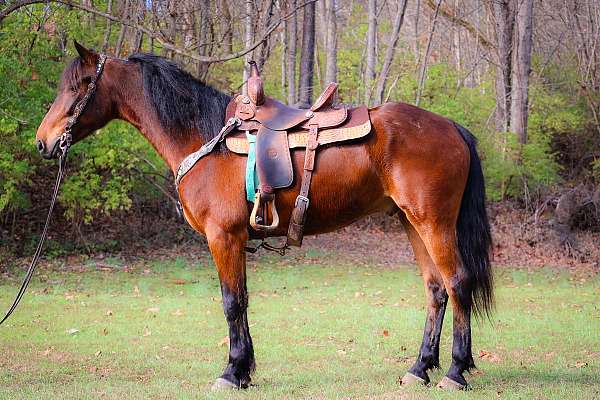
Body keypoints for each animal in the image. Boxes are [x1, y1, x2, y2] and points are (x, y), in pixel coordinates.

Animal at [35, 43, 490, 390]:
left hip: (434, 224)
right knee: (435, 290)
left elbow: (232, 302)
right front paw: (244, 371)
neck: (205, 138)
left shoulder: (224, 237)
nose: (43, 142)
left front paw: (231, 372)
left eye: (77, 86)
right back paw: (419, 368)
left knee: (458, 283)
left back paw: (454, 371)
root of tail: (451, 127)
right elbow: (243, 301)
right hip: (411, 222)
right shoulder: (234, 240)